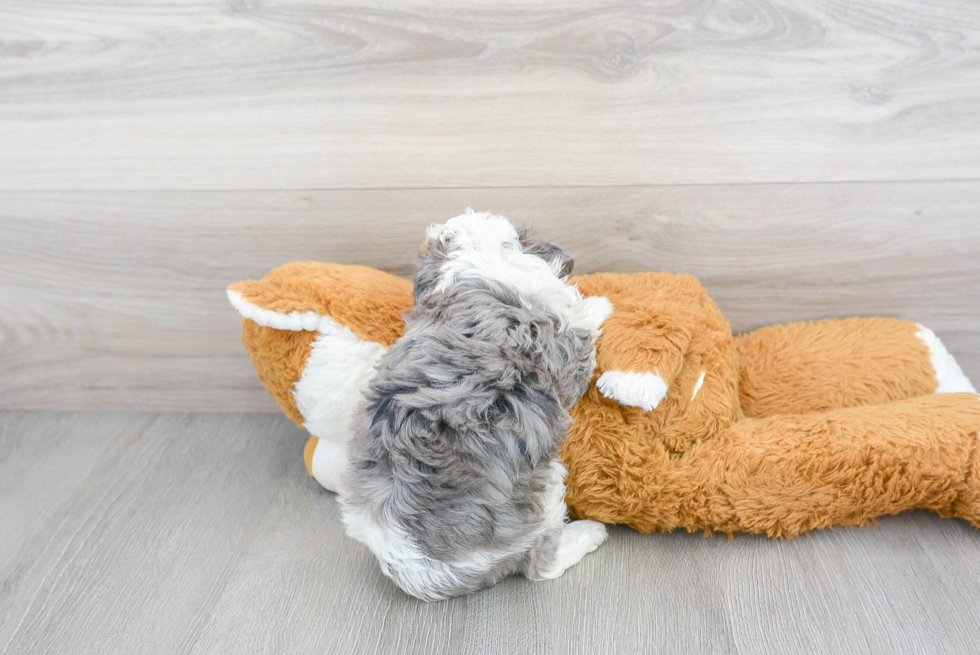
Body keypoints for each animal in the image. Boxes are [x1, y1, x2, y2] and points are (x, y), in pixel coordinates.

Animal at [336, 213, 612, 604]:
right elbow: (581, 323)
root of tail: (415, 570)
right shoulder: (564, 347)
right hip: (541, 494)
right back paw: (590, 533)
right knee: (540, 565)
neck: (475, 261)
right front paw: (600, 304)